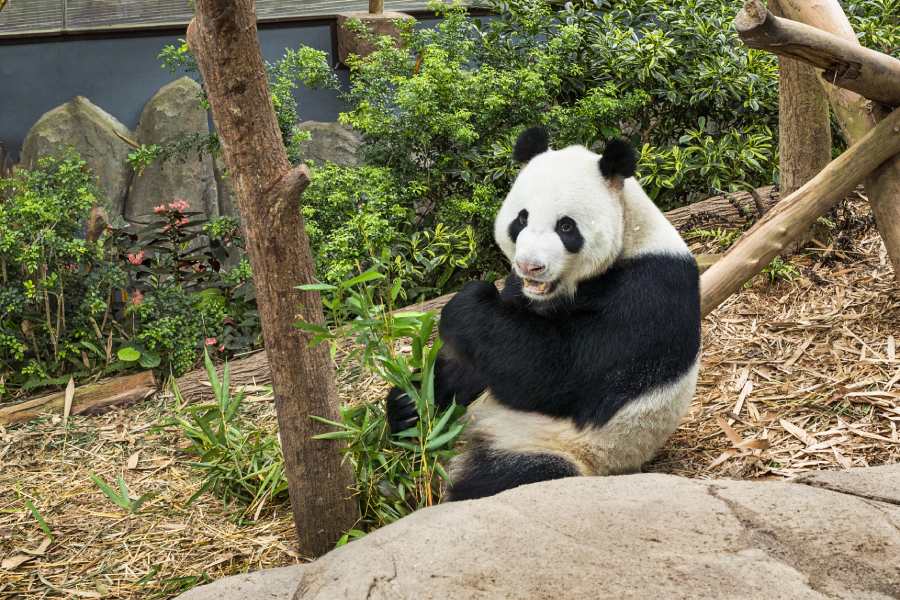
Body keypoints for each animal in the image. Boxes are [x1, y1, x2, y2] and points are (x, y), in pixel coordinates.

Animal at [387, 127, 701, 501]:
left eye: (566, 227)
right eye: (521, 218)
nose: (529, 266)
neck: (632, 233)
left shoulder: (648, 292)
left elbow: (557, 372)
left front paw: (467, 303)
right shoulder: (521, 293)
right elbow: (485, 359)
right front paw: (412, 401)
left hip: (559, 446)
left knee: (509, 477)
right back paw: (406, 410)